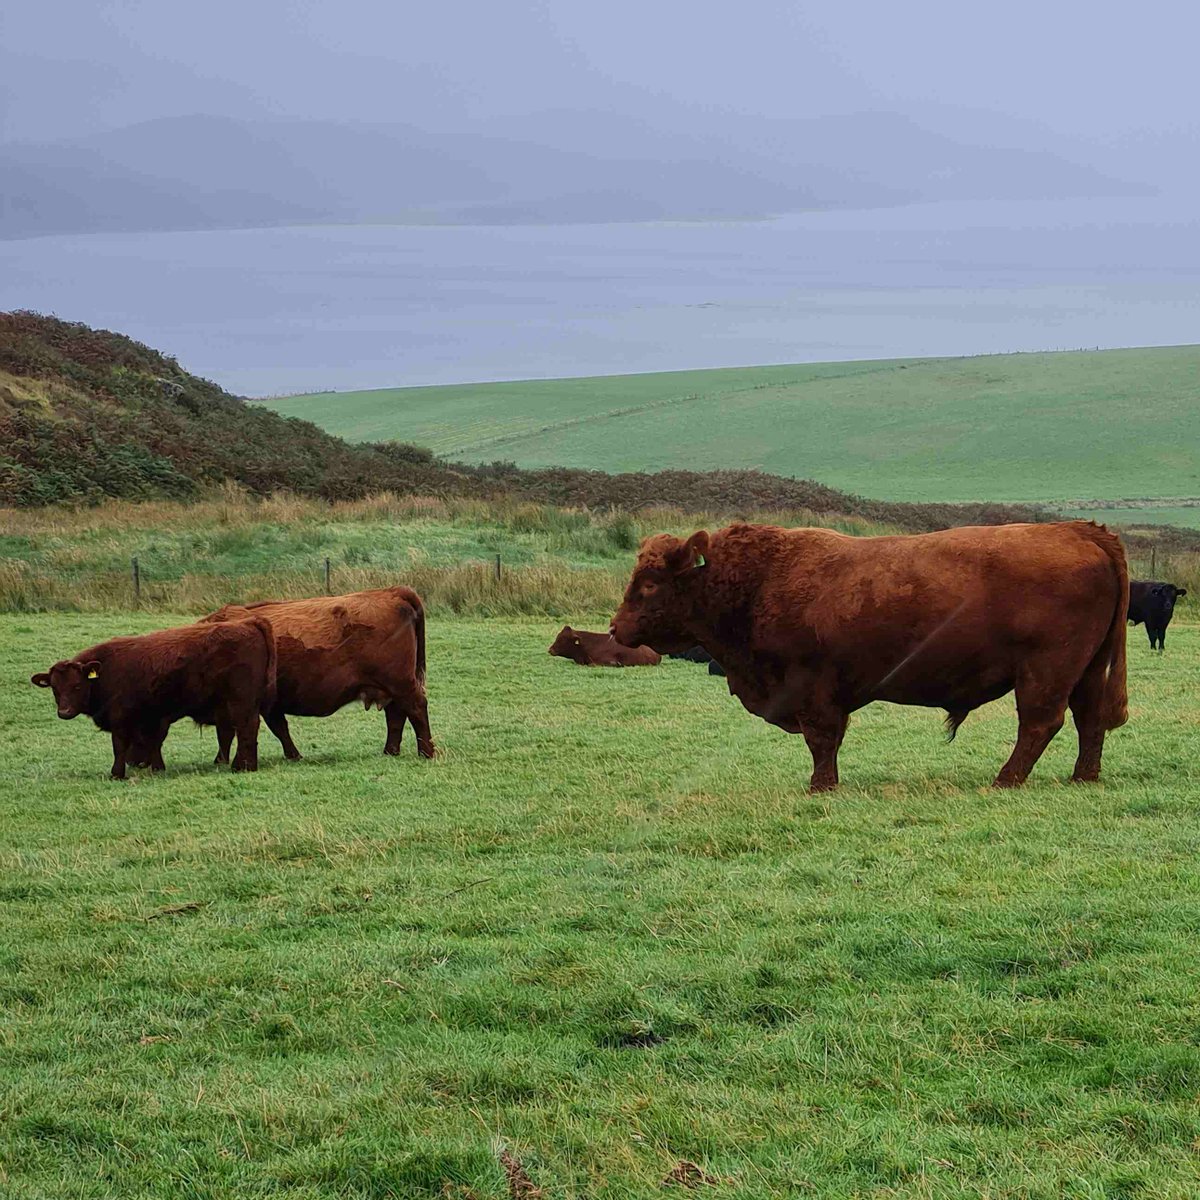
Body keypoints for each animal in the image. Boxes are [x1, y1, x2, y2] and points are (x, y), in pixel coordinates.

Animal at [31, 618, 276, 779]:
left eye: (77, 685)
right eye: (55, 688)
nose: (64, 712)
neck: (106, 670)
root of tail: (247, 623)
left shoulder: (122, 720)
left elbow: (120, 746)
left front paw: (117, 774)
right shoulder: (152, 718)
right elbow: (153, 743)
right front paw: (156, 768)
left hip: (239, 702)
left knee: (246, 728)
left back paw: (242, 766)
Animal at [201, 586, 434, 761]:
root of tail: (391, 592)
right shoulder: (270, 704)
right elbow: (280, 728)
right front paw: (294, 755)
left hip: (401, 684)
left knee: (416, 708)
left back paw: (426, 752)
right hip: (390, 688)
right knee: (396, 715)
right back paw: (390, 752)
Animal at [611, 521, 1128, 793]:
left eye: (650, 583)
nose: (616, 628)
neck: (760, 579)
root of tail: (1079, 530)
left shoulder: (812, 689)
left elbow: (822, 740)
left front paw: (820, 787)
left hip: (1045, 672)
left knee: (1041, 723)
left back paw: (1005, 779)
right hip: (1085, 671)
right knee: (1089, 720)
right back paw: (1083, 777)